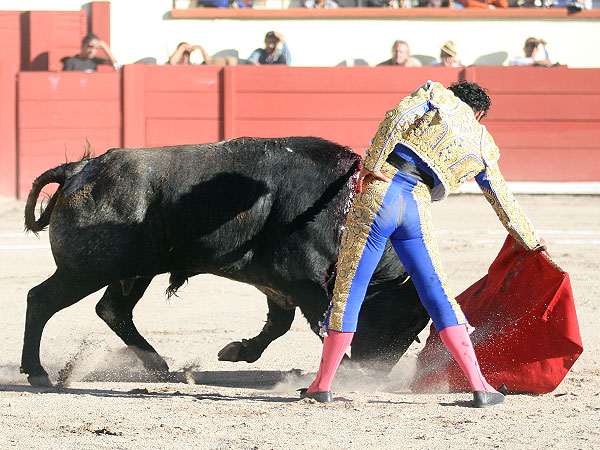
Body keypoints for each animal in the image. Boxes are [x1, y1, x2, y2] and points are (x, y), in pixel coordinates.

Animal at [21, 136, 428, 386]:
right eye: (407, 317)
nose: (374, 374)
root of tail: (80, 169)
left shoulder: (279, 285)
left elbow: (278, 325)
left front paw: (238, 351)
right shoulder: (303, 281)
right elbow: (325, 327)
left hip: (133, 272)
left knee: (112, 310)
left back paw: (159, 366)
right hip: (85, 270)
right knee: (40, 300)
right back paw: (37, 373)